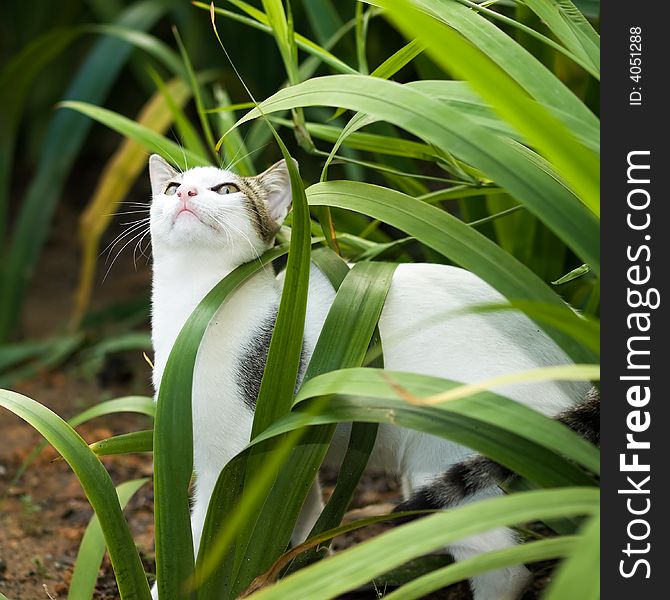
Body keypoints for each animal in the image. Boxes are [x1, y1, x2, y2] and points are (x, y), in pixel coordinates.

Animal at [150, 155, 596, 600]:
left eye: (226, 190)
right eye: (172, 187)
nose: (186, 193)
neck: (197, 306)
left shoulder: (230, 462)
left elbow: (201, 538)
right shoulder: (285, 458)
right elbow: (299, 518)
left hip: (443, 457)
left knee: (505, 569)